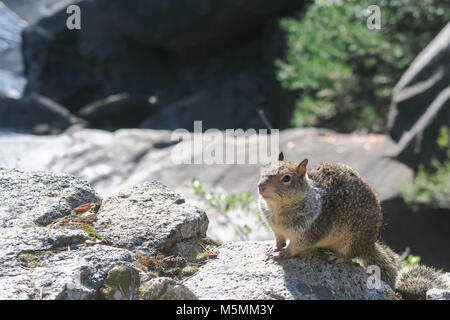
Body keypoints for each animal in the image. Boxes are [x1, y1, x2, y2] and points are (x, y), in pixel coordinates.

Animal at [258, 152, 444, 300]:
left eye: (286, 178)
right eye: (263, 170)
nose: (260, 187)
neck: (278, 210)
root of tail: (368, 246)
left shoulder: (310, 231)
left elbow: (295, 247)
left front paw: (281, 253)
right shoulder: (276, 230)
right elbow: (279, 240)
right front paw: (273, 248)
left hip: (350, 242)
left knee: (349, 256)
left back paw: (336, 256)